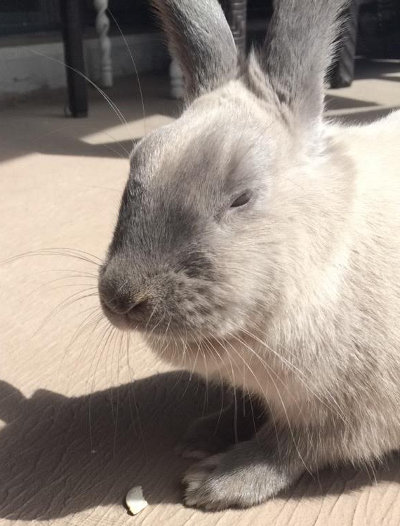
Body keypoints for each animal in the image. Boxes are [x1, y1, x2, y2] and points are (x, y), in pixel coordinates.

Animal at [97, 0, 400, 512]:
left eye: (241, 197)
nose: (121, 298)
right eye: (136, 162)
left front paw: (217, 481)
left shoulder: (350, 417)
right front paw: (203, 434)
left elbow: (290, 447)